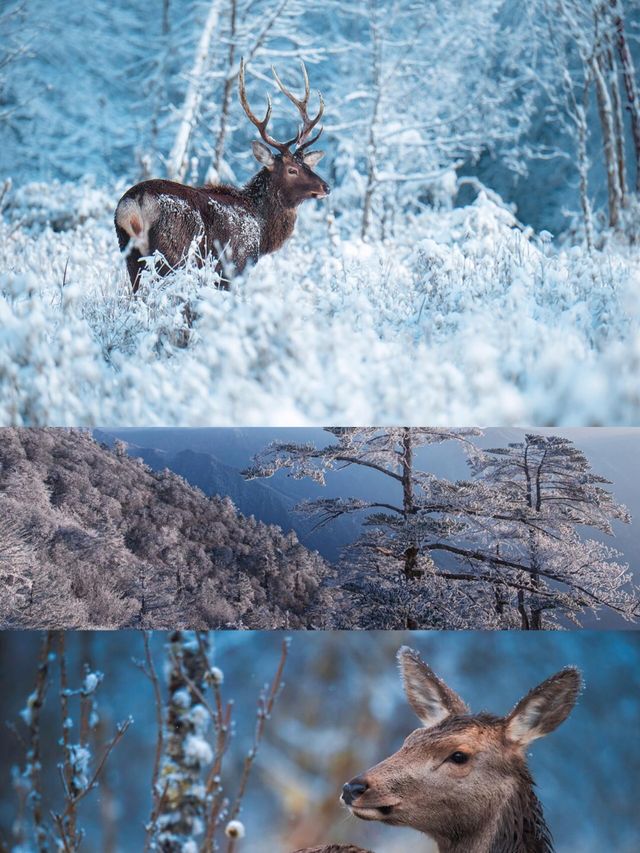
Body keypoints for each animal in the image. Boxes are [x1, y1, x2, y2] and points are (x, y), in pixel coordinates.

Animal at [113, 60, 330, 292]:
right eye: (292, 170)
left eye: (306, 165)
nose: (326, 187)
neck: (262, 228)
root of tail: (136, 202)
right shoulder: (237, 263)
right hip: (173, 254)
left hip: (130, 254)